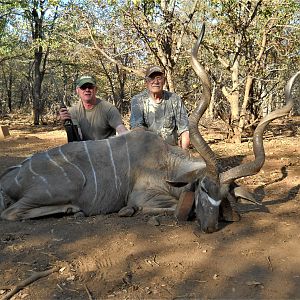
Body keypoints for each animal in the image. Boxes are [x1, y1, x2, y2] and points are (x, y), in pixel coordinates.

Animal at [0, 26, 298, 232]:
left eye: (224, 194)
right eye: (203, 188)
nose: (210, 227)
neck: (166, 164)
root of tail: (12, 177)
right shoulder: (143, 197)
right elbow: (165, 207)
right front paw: (127, 211)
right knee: (11, 213)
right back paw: (73, 210)